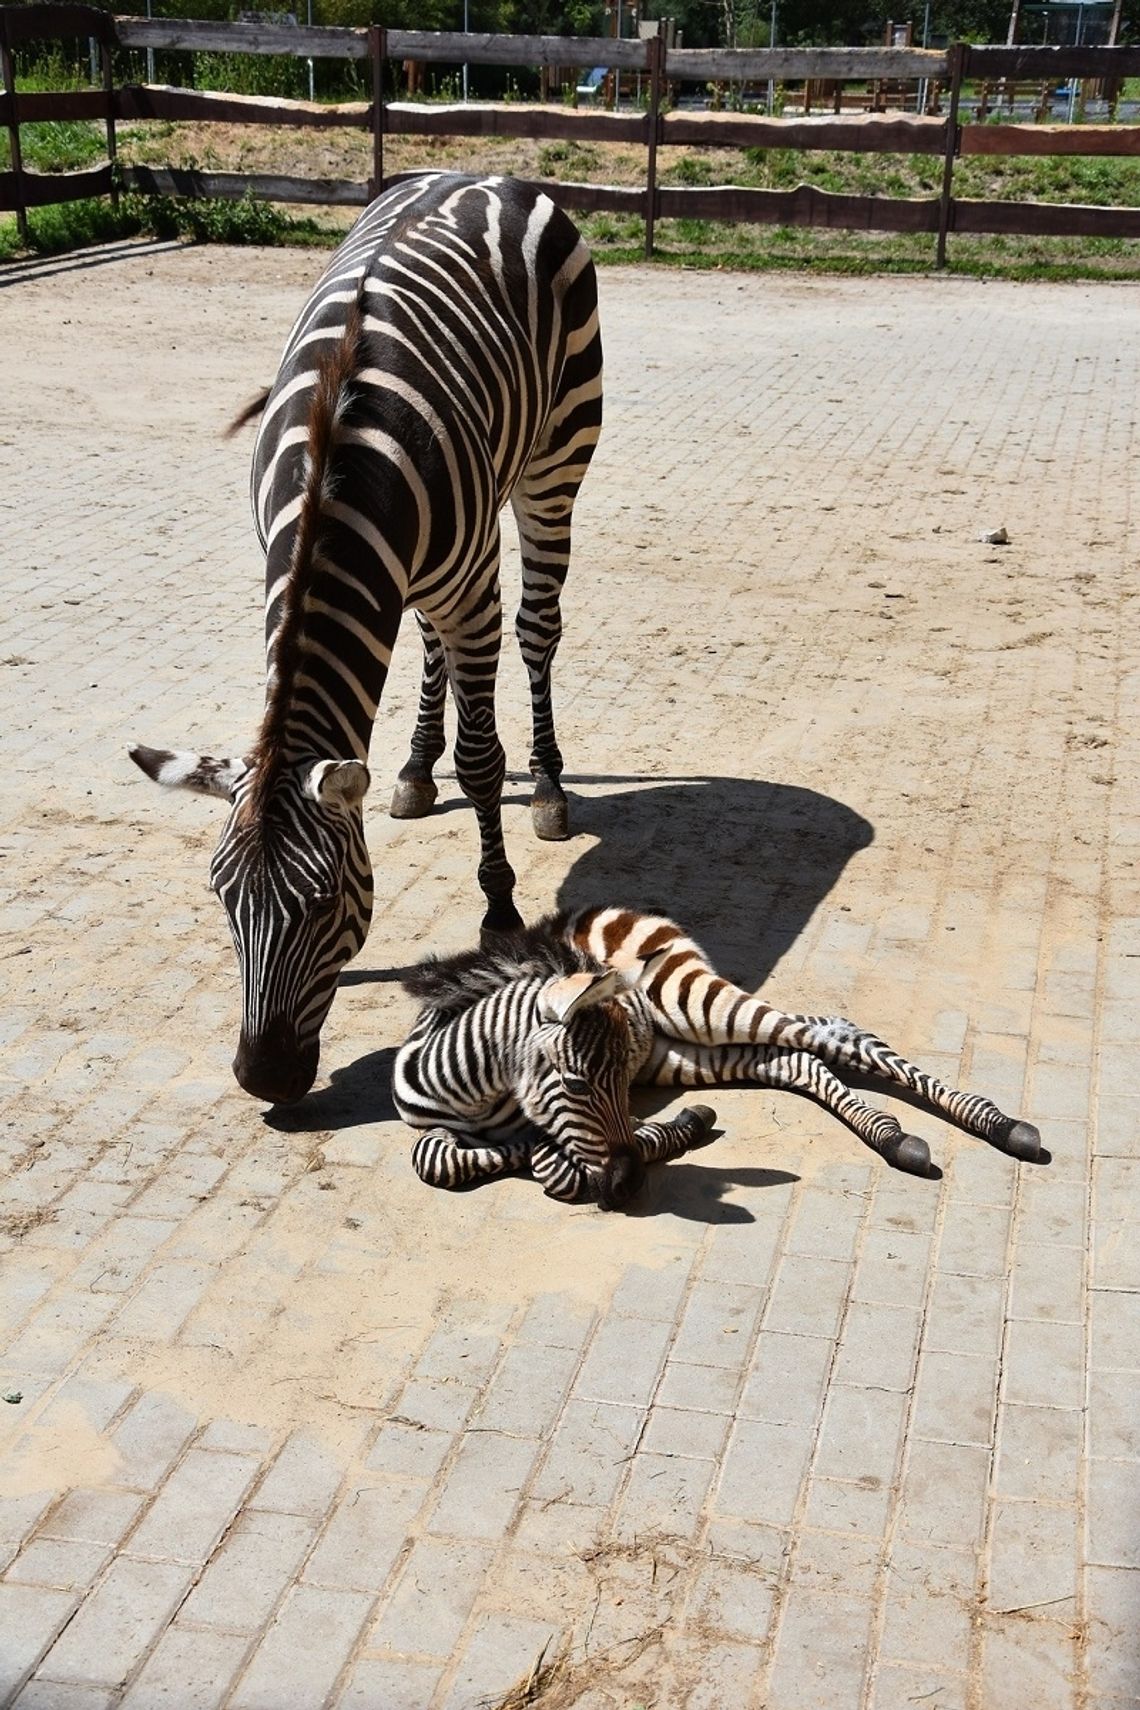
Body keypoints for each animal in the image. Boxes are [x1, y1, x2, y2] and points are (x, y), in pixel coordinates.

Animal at [131, 176, 605, 1108]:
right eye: (222, 901)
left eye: (323, 904)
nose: (265, 1079)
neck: (336, 466)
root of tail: (482, 175)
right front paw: (420, 766)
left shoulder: (470, 584)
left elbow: (484, 761)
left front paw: (500, 913)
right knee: (429, 645)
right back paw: (417, 769)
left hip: (556, 461)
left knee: (539, 630)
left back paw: (549, 788)